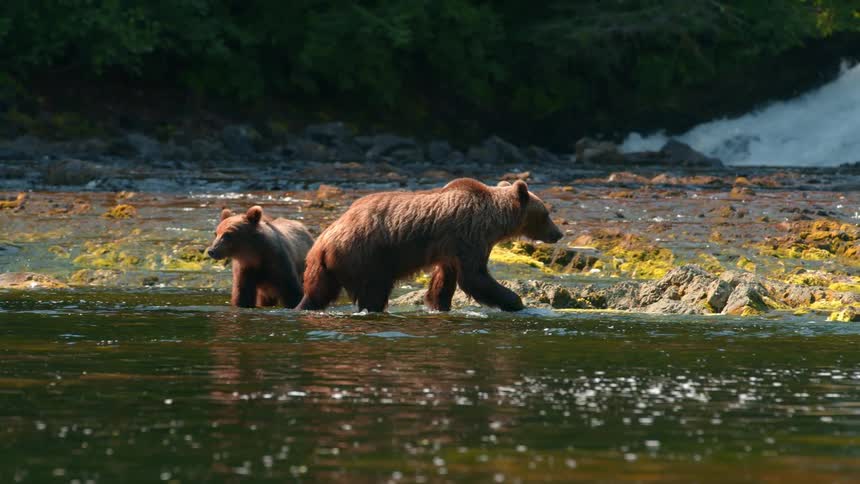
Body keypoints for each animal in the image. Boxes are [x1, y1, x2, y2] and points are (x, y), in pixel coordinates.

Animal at [295, 178, 563, 312]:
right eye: (546, 213)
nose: (558, 233)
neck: (495, 221)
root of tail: (322, 241)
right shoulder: (470, 235)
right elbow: (475, 277)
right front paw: (516, 302)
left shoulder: (450, 248)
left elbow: (445, 279)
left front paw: (439, 304)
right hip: (365, 255)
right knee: (375, 290)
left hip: (326, 266)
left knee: (318, 292)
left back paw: (303, 306)